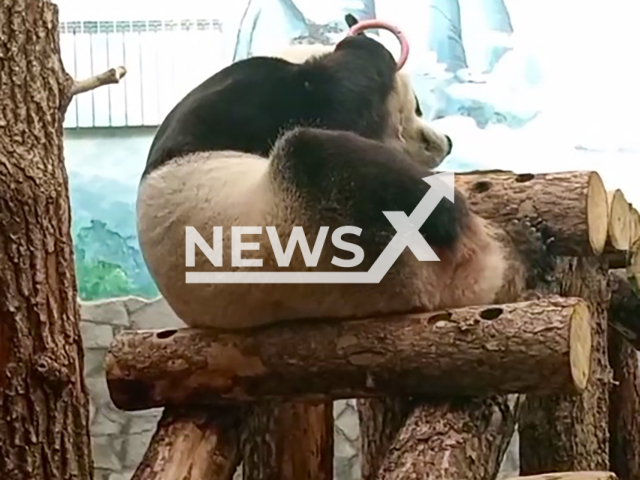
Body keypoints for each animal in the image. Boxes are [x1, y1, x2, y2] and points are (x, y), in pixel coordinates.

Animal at [136, 32, 510, 330]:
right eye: (417, 106)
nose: (445, 142)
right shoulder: (253, 95)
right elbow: (336, 100)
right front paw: (368, 46)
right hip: (294, 213)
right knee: (320, 153)